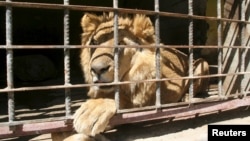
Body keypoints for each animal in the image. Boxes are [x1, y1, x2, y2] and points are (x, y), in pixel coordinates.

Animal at [63, 12, 208, 140]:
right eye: (94, 42)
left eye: (120, 44)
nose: (96, 69)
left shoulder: (149, 100)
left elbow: (123, 101)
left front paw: (93, 111)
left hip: (203, 63)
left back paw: (186, 97)